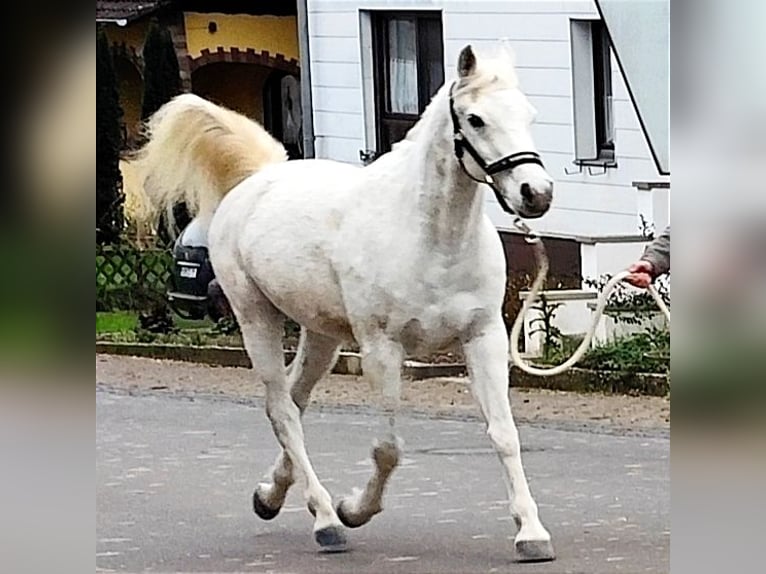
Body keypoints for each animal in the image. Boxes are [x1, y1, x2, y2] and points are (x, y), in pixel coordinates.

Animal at [138, 45, 556, 564]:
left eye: (530, 114)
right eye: (475, 119)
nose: (535, 194)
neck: (429, 237)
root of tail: (258, 179)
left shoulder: (483, 337)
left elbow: (504, 434)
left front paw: (531, 533)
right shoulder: (382, 349)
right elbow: (389, 448)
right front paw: (354, 509)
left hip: (321, 336)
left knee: (295, 400)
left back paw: (269, 495)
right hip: (256, 318)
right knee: (282, 410)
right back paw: (326, 521)